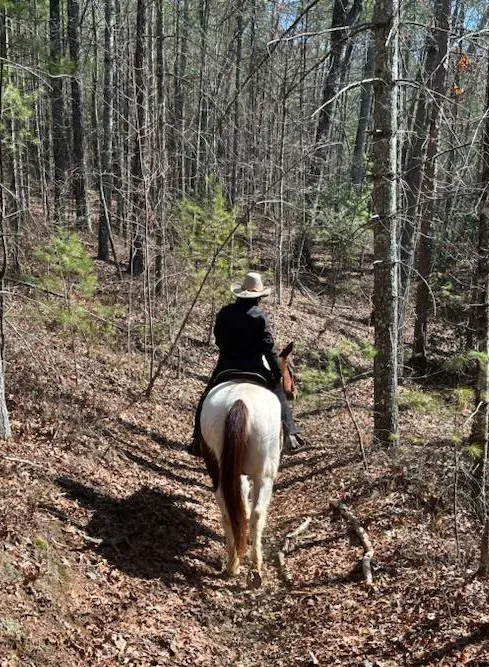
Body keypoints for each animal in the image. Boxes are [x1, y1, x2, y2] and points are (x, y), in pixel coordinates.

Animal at [199, 342, 296, 588]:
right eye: (290, 368)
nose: (294, 391)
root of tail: (238, 402)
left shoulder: (236, 474)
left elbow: (240, 504)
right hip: (264, 475)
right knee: (257, 514)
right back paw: (255, 569)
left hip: (218, 472)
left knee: (228, 513)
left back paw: (232, 563)